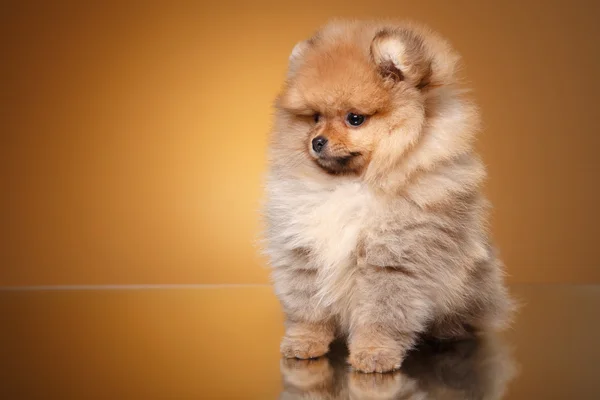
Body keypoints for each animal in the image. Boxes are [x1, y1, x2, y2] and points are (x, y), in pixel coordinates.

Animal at [262, 20, 510, 374]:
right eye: (315, 118)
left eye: (355, 119)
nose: (316, 141)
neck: (351, 183)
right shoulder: (301, 252)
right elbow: (307, 308)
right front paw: (304, 342)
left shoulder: (394, 260)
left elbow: (381, 313)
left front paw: (375, 352)